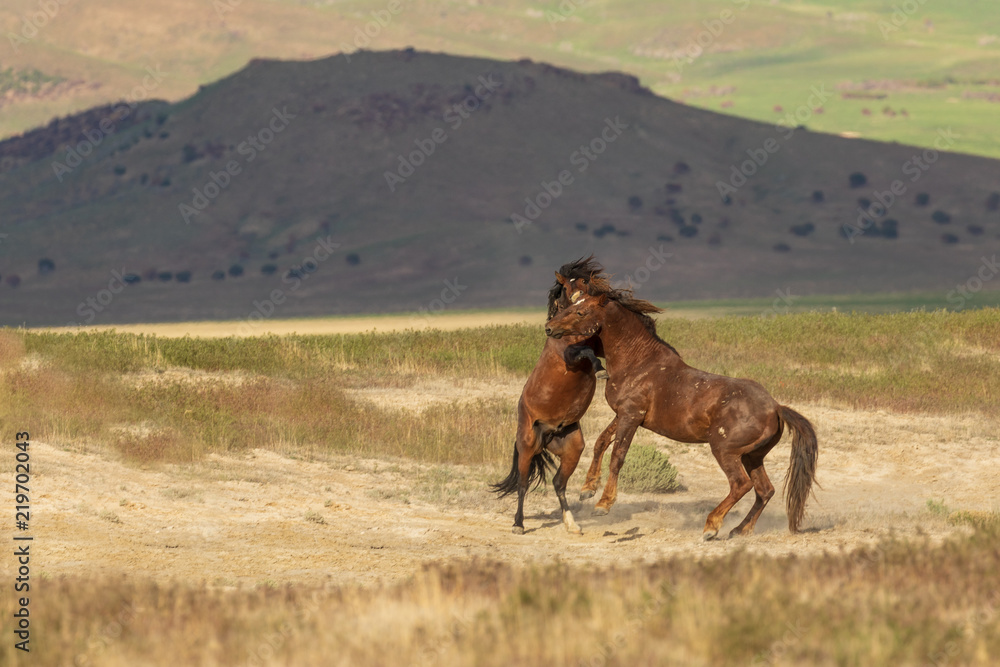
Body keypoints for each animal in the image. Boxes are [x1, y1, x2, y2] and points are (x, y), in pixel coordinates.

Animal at [491, 257, 608, 535]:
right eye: (566, 287)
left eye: (586, 282)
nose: (580, 303)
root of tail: (548, 433)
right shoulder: (570, 356)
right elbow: (587, 352)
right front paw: (600, 371)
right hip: (527, 446)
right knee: (523, 484)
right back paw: (518, 524)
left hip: (573, 449)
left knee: (558, 483)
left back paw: (572, 524)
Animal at [544, 275, 818, 539]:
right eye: (572, 304)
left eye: (581, 312)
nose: (549, 328)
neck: (638, 363)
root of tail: (776, 408)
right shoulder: (623, 414)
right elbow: (601, 442)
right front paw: (587, 489)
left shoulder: (631, 416)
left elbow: (617, 456)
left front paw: (603, 504)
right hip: (752, 456)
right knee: (765, 490)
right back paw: (740, 530)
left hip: (725, 451)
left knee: (741, 485)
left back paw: (711, 527)